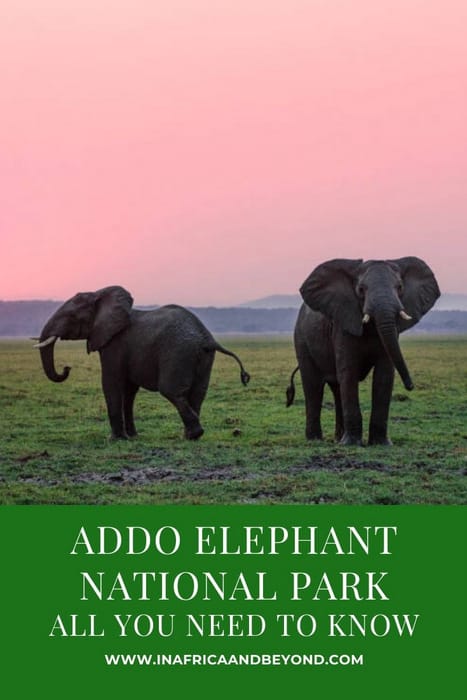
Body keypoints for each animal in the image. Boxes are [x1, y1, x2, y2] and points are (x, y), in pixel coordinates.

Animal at [34, 286, 250, 440]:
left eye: (71, 317)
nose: (66, 368)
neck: (99, 294)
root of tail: (207, 337)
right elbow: (129, 391)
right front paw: (133, 436)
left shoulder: (114, 343)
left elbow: (111, 383)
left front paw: (115, 439)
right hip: (203, 356)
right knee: (197, 394)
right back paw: (190, 436)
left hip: (178, 352)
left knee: (171, 391)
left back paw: (193, 435)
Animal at [286, 257, 440, 446]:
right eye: (360, 290)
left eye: (400, 287)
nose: (410, 386)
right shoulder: (343, 323)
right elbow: (349, 372)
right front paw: (352, 444)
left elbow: (384, 375)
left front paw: (381, 444)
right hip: (301, 338)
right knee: (314, 385)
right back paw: (315, 440)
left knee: (337, 388)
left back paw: (338, 438)